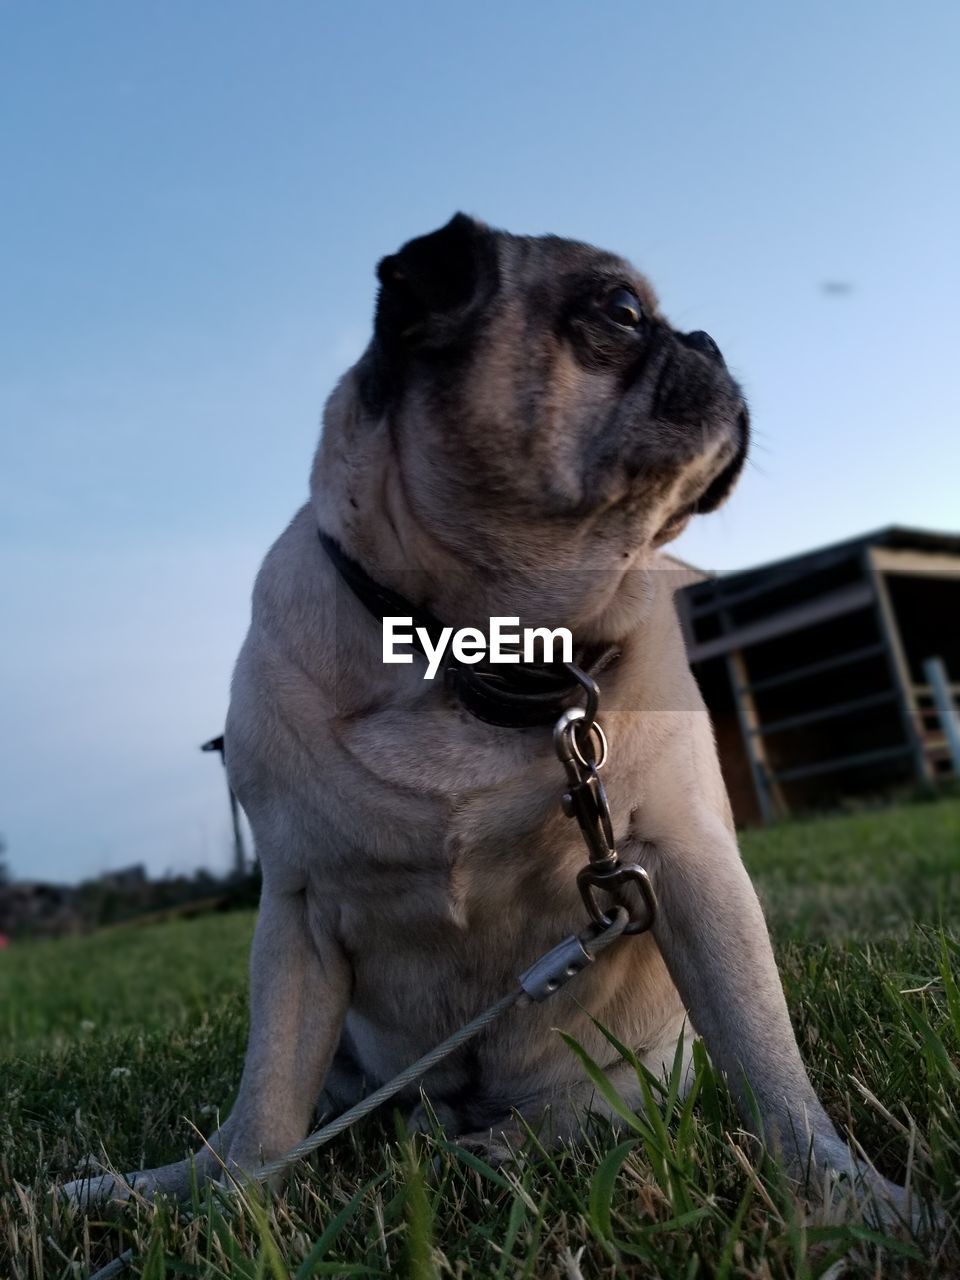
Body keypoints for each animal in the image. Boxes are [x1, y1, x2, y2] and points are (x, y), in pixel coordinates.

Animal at [65, 212, 911, 1218]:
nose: (705, 342)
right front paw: (228, 1204)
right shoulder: (298, 918)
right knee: (290, 1115)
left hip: (642, 1073)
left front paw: (851, 1199)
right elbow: (267, 1106)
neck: (486, 658)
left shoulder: (691, 868)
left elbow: (770, 1064)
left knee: (582, 1117)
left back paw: (504, 1148)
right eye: (622, 311)